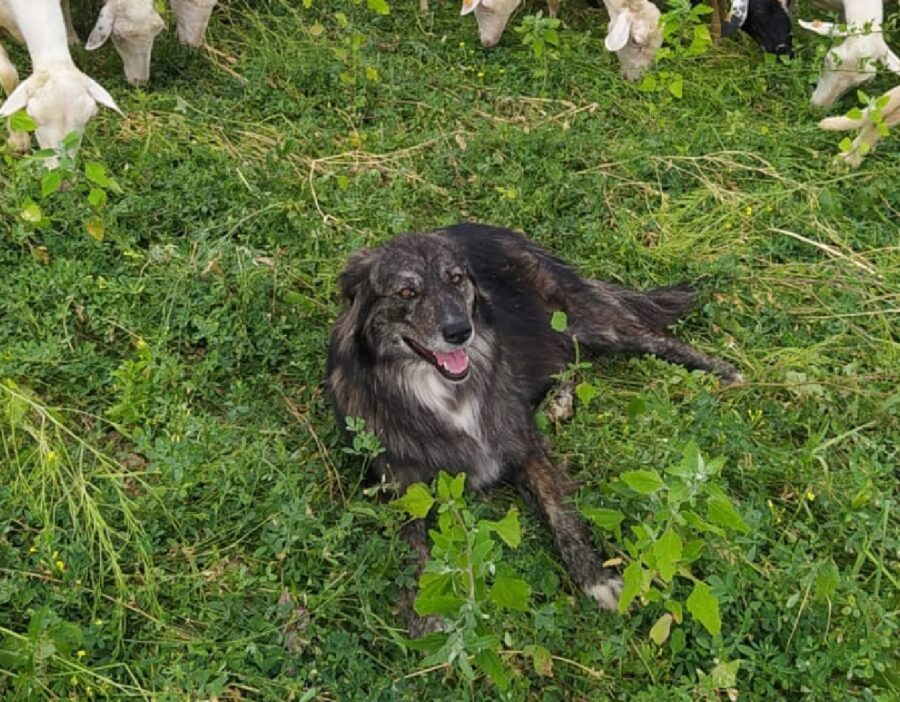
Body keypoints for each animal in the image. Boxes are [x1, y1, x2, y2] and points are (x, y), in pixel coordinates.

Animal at [326, 226, 740, 640]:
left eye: (456, 279)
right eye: (406, 292)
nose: (460, 331)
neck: (445, 392)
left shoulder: (523, 445)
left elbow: (559, 511)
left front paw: (595, 577)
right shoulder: (401, 488)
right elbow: (414, 555)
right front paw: (425, 619)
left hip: (587, 321)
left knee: (649, 340)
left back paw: (724, 371)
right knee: (571, 357)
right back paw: (559, 399)